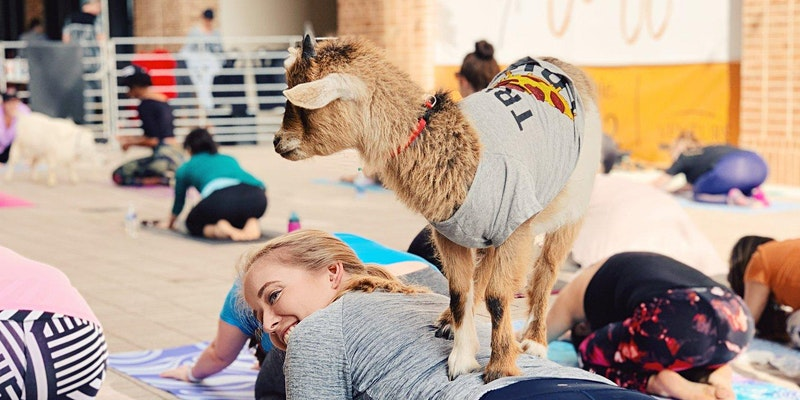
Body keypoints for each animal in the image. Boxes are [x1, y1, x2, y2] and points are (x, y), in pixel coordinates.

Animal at [274, 36, 600, 382]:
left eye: (303, 101)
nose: (278, 141)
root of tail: (559, 64)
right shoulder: (450, 231)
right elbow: (458, 291)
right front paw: (461, 360)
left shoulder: (516, 226)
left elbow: (498, 297)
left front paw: (500, 367)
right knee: (483, 270)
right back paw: (447, 323)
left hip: (573, 207)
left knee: (547, 269)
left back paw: (535, 342)